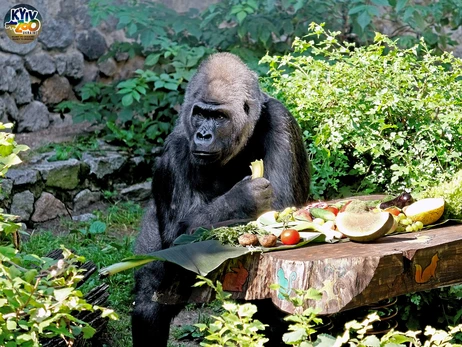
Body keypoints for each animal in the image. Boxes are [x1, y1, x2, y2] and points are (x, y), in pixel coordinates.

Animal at [132, 51, 308, 346]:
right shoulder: (175, 147)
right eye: (200, 114)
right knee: (150, 300)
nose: (203, 135)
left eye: (219, 117)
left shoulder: (280, 120)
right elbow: (177, 236)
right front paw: (241, 198)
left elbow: (282, 207)